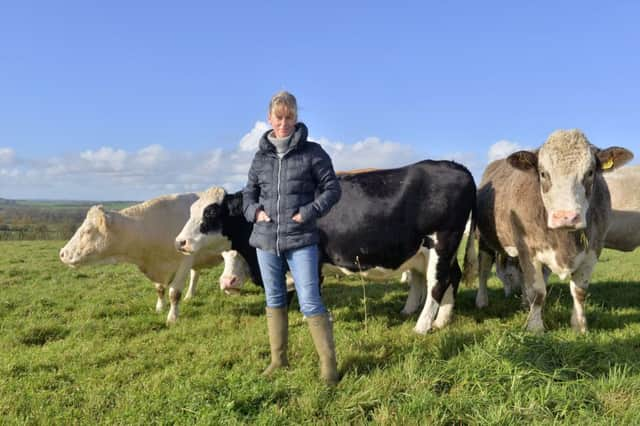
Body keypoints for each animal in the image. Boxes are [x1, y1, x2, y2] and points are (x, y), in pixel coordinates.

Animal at [58, 191, 231, 324]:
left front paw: (172, 318)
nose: (62, 253)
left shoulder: (185, 261)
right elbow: (160, 289)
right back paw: (190, 296)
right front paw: (160, 308)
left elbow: (174, 293)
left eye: (87, 230)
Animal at [175, 160, 476, 332]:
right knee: (450, 276)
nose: (180, 242)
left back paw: (422, 326)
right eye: (191, 210)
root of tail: (453, 165)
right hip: (433, 249)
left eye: (211, 213)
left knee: (437, 282)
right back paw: (440, 319)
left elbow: (309, 292)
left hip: (442, 241)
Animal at [468, 130, 632, 332]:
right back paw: (482, 301)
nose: (566, 216)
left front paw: (579, 326)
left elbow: (579, 291)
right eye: (543, 173)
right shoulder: (527, 248)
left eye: (590, 172)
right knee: (483, 271)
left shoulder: (594, 249)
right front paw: (535, 327)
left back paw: (524, 303)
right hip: (484, 239)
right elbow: (538, 292)